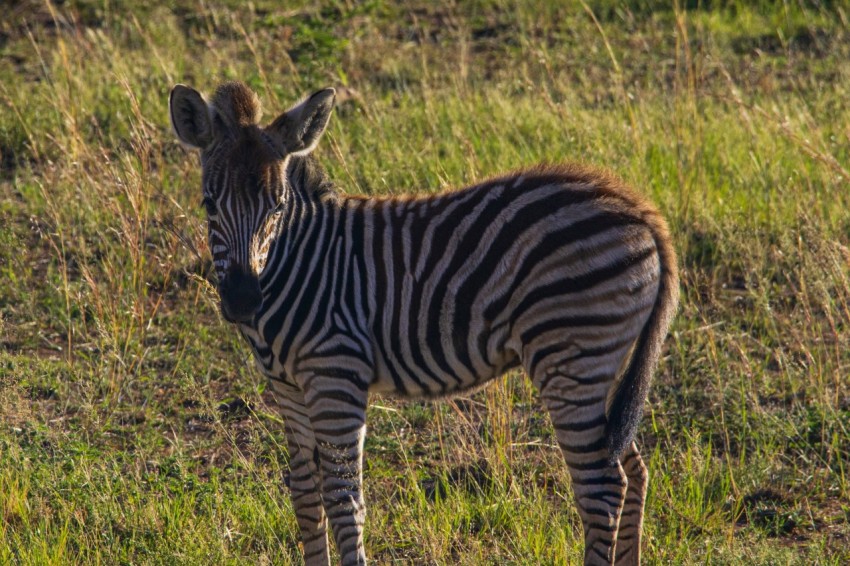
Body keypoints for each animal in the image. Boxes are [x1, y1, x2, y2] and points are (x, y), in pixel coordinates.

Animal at [171, 81, 676, 566]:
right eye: (208, 204)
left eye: (277, 207)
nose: (242, 300)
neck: (300, 263)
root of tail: (641, 209)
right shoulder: (289, 390)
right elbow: (306, 498)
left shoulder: (336, 378)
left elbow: (343, 499)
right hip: (599, 362)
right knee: (632, 471)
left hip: (571, 357)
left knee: (602, 489)